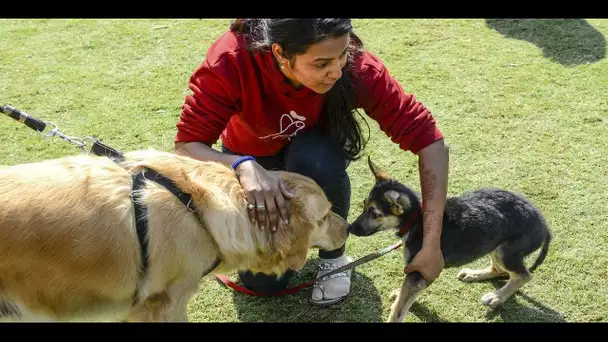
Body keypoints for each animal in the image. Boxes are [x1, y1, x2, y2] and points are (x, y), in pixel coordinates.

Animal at [346, 156, 552, 322]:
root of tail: (543, 223)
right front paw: (399, 294)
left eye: (374, 213)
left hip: (505, 250)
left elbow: (399, 309)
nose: (349, 228)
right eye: (364, 205)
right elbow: (406, 296)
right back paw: (473, 274)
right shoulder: (421, 271)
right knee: (501, 270)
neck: (416, 219)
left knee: (523, 275)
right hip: (494, 245)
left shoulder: (418, 271)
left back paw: (497, 297)